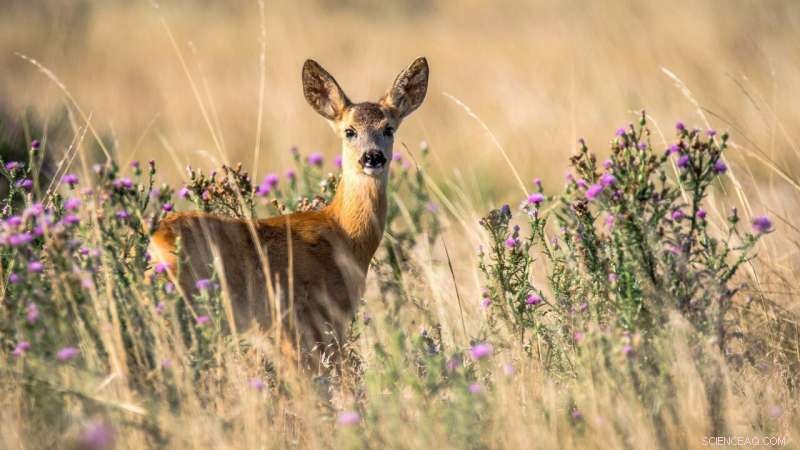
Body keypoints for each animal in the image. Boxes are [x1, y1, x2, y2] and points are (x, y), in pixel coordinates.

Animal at [149, 57, 429, 367]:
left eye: (389, 128)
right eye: (349, 131)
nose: (372, 157)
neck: (344, 233)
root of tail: (156, 240)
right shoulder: (311, 318)